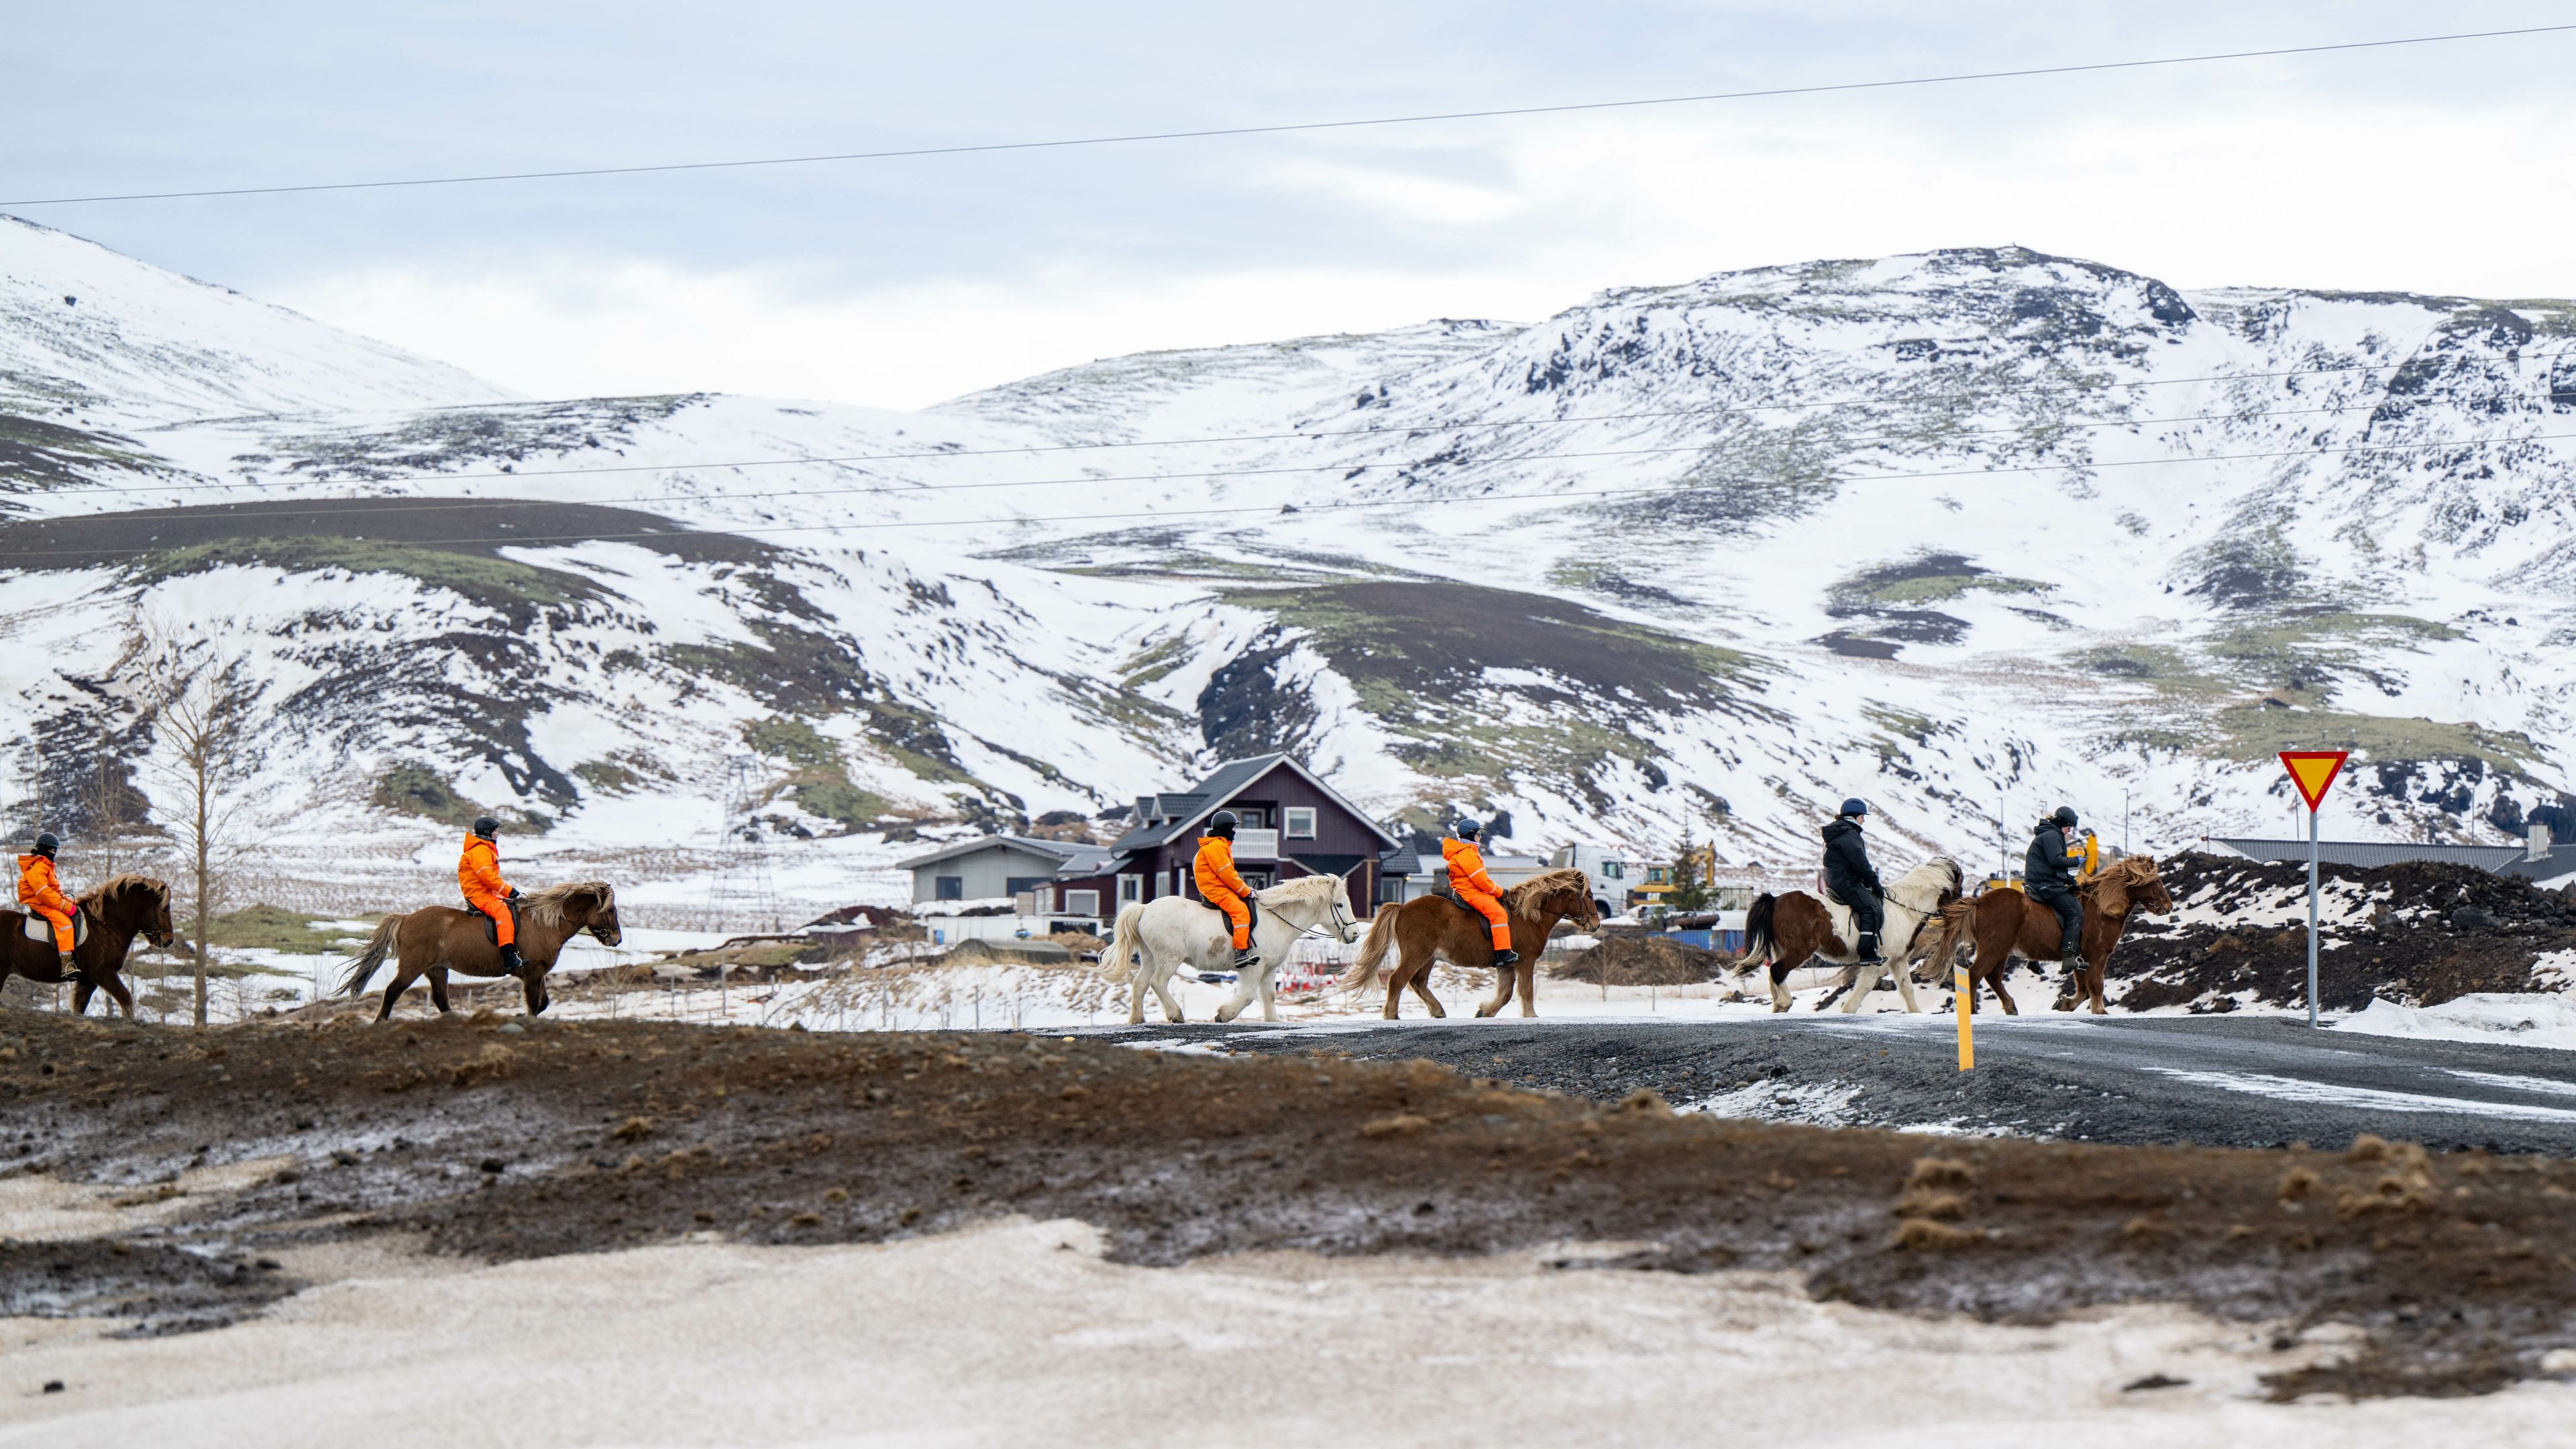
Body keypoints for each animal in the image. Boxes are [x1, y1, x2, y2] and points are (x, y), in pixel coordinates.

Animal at [0, 866, 176, 1016]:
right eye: (164, 909)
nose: (169, 940)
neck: (105, 926)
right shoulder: (103, 972)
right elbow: (126, 999)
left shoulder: (88, 981)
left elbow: (79, 1009)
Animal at [335, 881, 621, 1016]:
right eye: (611, 910)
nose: (616, 939)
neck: (544, 923)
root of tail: (405, 918)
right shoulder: (532, 975)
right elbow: (534, 1006)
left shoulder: (537, 975)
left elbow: (543, 1004)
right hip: (412, 967)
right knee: (392, 993)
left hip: (437, 969)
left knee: (441, 1000)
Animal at [1112, 861, 1360, 1020]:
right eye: (1339, 904)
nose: (1355, 934)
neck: (1277, 919)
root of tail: (1144, 909)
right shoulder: (1254, 967)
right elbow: (1249, 996)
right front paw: (1224, 1015)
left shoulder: (1270, 969)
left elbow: (1270, 995)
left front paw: (1274, 1021)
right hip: (1169, 958)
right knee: (1158, 982)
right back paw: (1176, 1014)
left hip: (1150, 957)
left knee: (1140, 984)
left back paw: (1137, 1019)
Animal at [1339, 866, 1597, 1016]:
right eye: (1589, 895)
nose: (1596, 923)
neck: (1529, 915)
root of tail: (1402, 907)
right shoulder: (1526, 961)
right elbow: (1526, 991)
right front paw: (1531, 1016)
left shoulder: (1508, 965)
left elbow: (1506, 995)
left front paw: (1485, 1012)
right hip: (1417, 954)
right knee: (1397, 981)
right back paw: (1392, 1015)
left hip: (1429, 958)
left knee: (1418, 982)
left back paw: (1438, 1011)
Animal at [1937, 851, 2174, 1010]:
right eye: (2158, 880)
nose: (2168, 906)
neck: (2103, 908)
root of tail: (1978, 902)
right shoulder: (2097, 955)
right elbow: (2096, 986)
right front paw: (2100, 1011)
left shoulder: (2081, 958)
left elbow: (2083, 989)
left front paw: (2065, 1004)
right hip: (1993, 948)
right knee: (1975, 975)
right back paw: (1973, 1011)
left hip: (2001, 950)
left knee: (1992, 977)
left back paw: (2011, 1007)